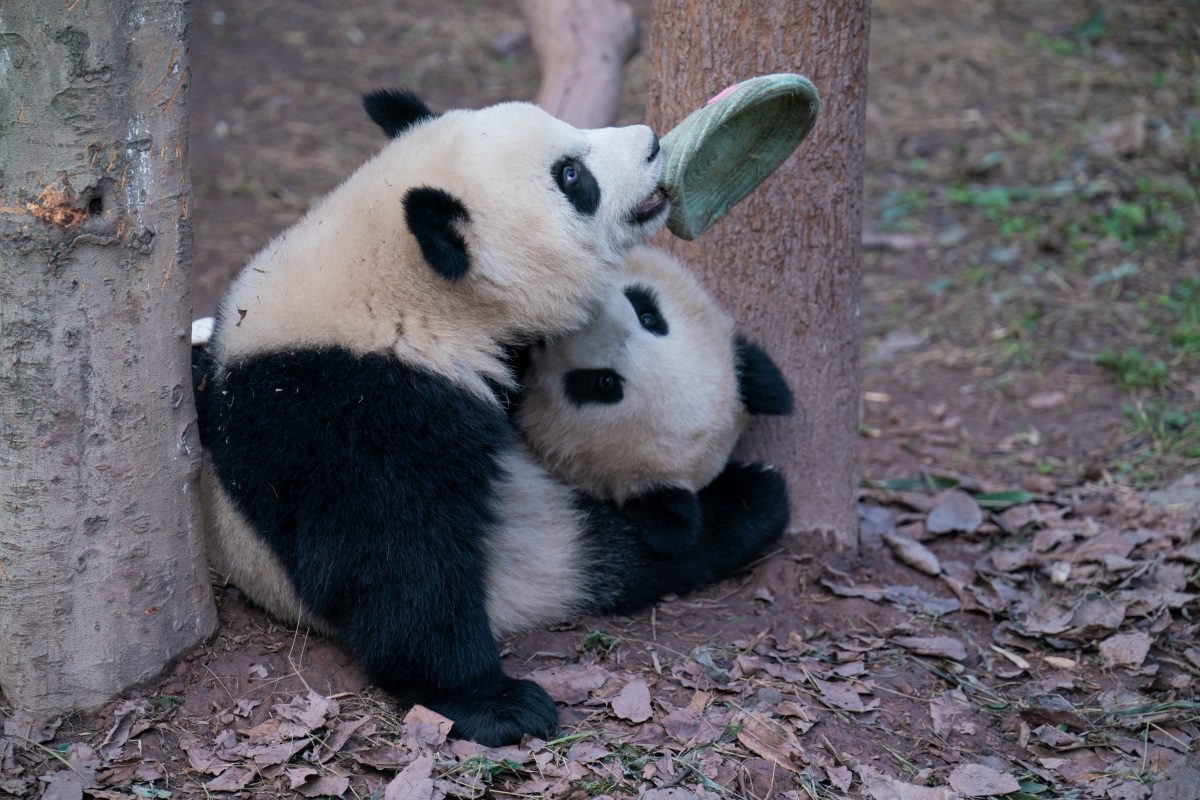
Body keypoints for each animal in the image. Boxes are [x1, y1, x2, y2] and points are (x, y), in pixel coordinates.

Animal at [194, 90, 787, 748]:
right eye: (572, 177)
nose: (653, 142)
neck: (395, 278)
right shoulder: (350, 412)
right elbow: (393, 559)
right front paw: (497, 704)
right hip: (545, 553)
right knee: (639, 552)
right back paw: (753, 498)